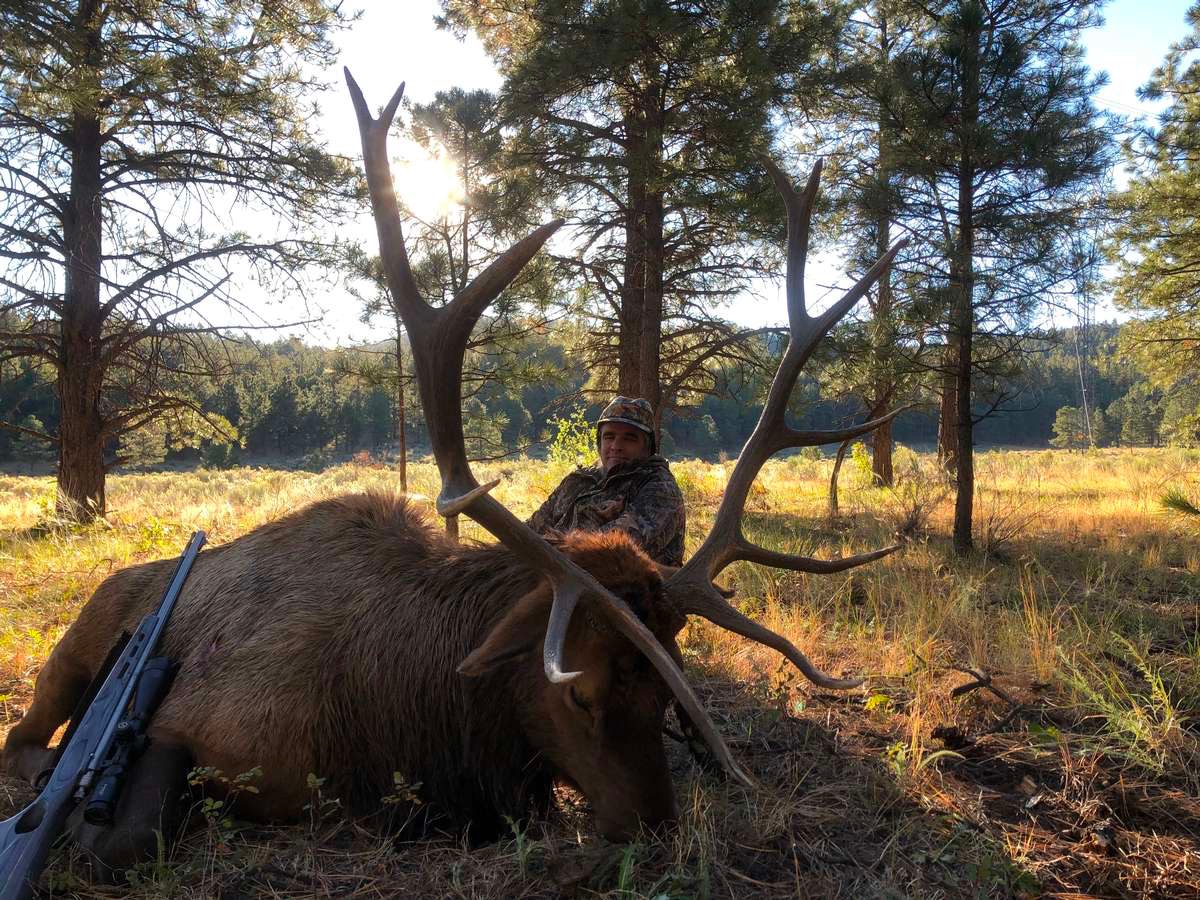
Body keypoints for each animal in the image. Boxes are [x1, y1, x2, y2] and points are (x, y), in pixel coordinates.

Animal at [0, 70, 905, 878]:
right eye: (580, 691)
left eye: (669, 689)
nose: (657, 830)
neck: (407, 721)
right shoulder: (198, 726)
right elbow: (122, 830)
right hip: (72, 650)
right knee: (22, 734)